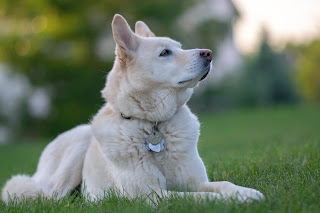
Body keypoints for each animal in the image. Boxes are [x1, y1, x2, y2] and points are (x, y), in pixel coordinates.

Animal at [1, 14, 264, 204]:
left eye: (180, 47)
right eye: (165, 53)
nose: (209, 53)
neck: (153, 124)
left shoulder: (193, 181)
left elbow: (222, 186)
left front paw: (246, 192)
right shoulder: (152, 196)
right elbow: (203, 197)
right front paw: (232, 201)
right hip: (73, 156)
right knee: (50, 198)